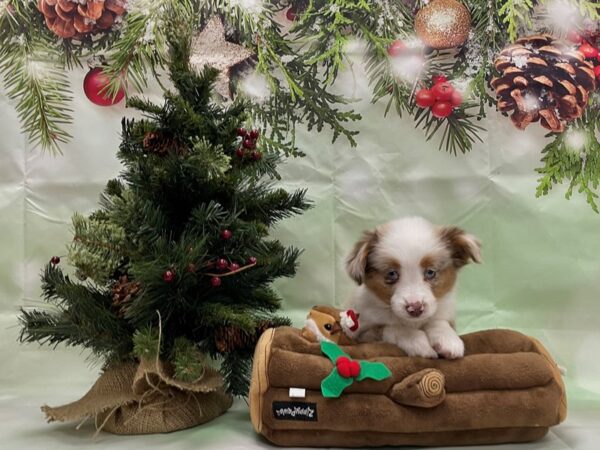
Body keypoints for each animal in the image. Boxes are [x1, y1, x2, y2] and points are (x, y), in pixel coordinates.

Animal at [344, 216, 480, 360]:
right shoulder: (363, 333)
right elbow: (395, 328)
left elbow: (437, 321)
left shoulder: (445, 314)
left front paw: (448, 339)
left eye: (430, 272)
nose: (415, 308)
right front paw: (420, 344)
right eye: (392, 274)